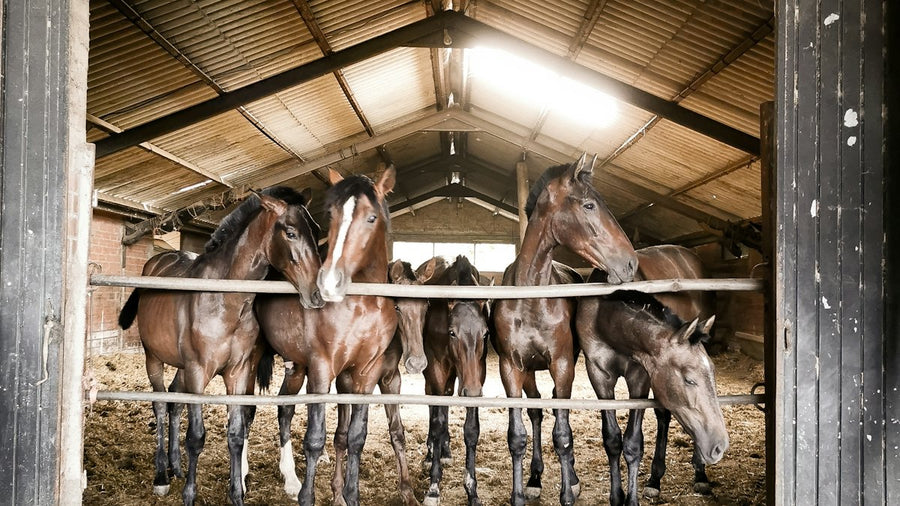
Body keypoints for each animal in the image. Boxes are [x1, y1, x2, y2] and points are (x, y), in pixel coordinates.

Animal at [117, 187, 324, 505]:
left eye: (316, 231)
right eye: (290, 233)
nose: (317, 293)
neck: (225, 299)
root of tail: (155, 262)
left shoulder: (237, 371)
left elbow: (236, 433)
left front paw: (237, 493)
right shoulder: (199, 371)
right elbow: (196, 436)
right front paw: (190, 494)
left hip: (182, 368)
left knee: (175, 400)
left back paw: (176, 466)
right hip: (154, 358)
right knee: (161, 405)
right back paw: (162, 476)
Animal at [253, 167, 400, 506]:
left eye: (371, 217)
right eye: (331, 215)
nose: (329, 283)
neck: (362, 305)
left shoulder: (366, 373)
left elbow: (355, 437)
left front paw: (350, 495)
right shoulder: (322, 369)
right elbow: (315, 438)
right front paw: (308, 496)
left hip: (296, 366)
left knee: (284, 409)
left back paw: (289, 478)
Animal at [420, 255, 491, 506]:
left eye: (485, 333)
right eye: (452, 332)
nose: (471, 391)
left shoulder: (477, 373)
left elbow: (471, 430)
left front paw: (472, 490)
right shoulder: (436, 368)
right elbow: (437, 423)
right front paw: (433, 487)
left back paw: (445, 450)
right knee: (433, 405)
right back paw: (432, 452)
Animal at [491, 154, 638, 506]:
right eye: (589, 205)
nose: (631, 263)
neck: (530, 299)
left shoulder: (562, 364)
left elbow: (563, 436)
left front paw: (567, 491)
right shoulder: (510, 367)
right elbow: (517, 436)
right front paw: (520, 494)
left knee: (560, 414)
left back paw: (570, 480)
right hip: (530, 371)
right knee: (537, 413)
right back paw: (535, 478)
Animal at [575, 284, 727, 506]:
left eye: (714, 372)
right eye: (689, 379)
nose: (720, 446)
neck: (604, 317)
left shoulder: (640, 376)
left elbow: (633, 443)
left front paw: (631, 500)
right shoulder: (598, 375)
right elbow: (612, 439)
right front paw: (617, 496)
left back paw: (698, 474)